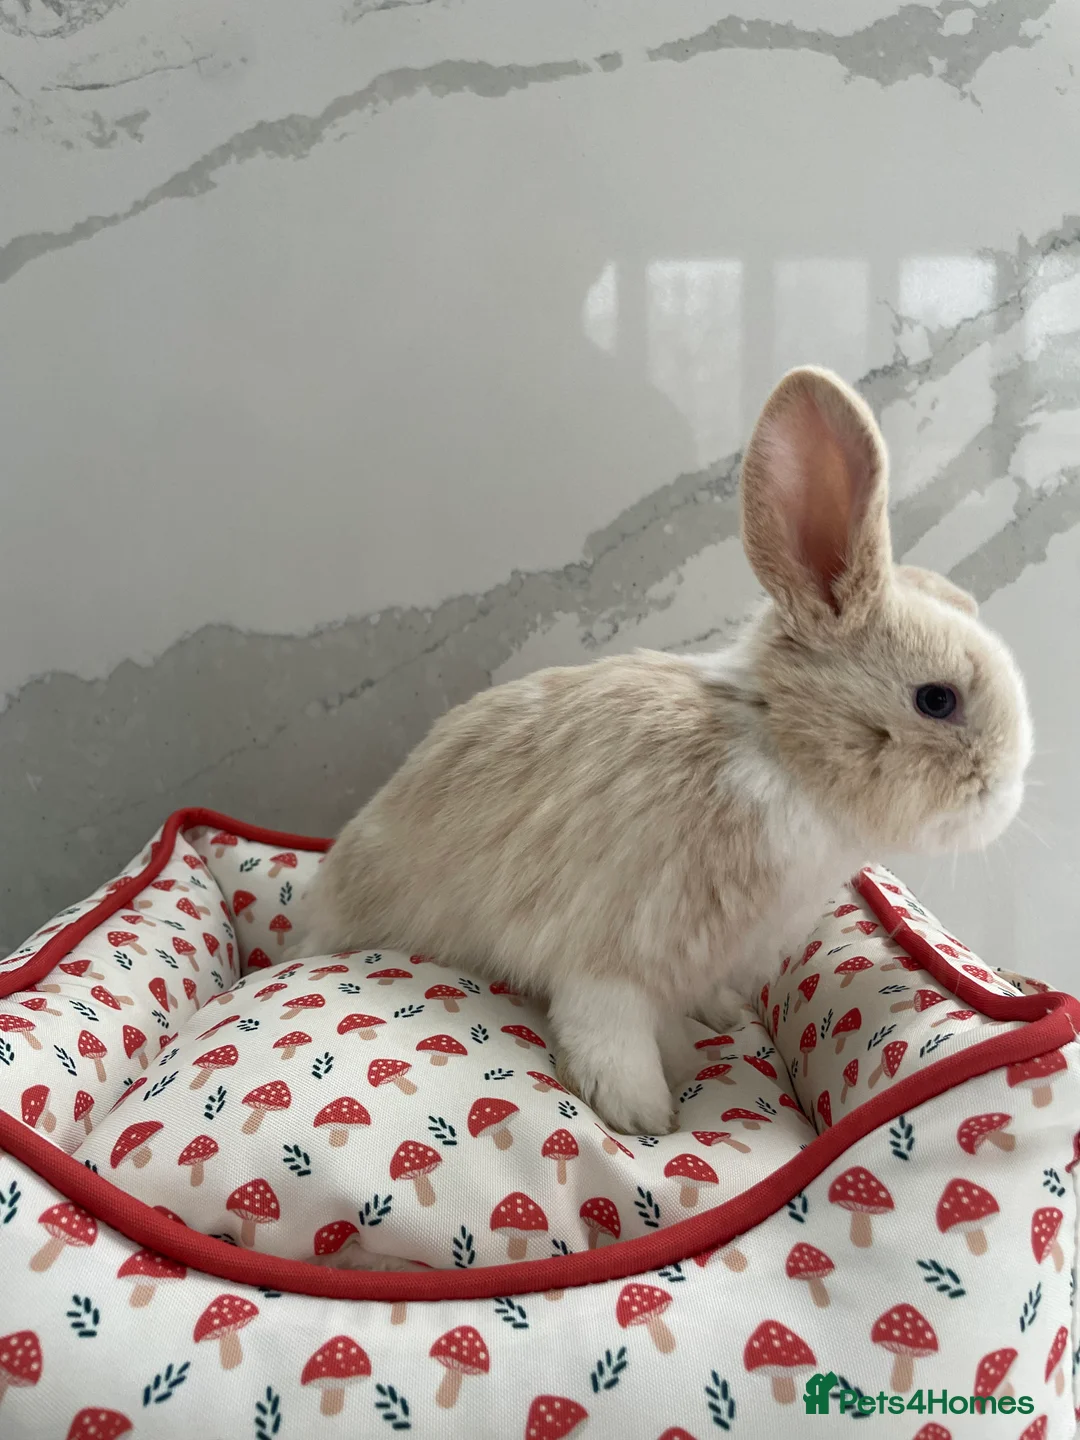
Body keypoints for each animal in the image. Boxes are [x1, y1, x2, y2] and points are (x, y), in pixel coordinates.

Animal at [293, 367, 1033, 1137]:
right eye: (937, 700)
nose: (1008, 791)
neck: (778, 751)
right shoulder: (611, 955)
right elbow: (612, 1038)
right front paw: (646, 1118)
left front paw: (705, 1039)